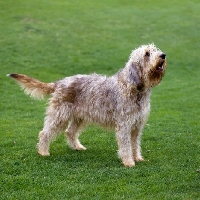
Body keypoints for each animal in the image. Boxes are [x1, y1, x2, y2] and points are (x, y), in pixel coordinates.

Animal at [6, 43, 166, 167]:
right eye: (147, 53)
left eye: (155, 49)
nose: (163, 55)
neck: (135, 89)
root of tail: (59, 82)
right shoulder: (124, 126)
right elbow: (126, 145)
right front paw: (129, 162)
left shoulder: (137, 125)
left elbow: (135, 144)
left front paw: (137, 158)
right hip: (59, 115)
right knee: (45, 133)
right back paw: (43, 152)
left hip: (79, 117)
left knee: (69, 132)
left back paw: (77, 147)